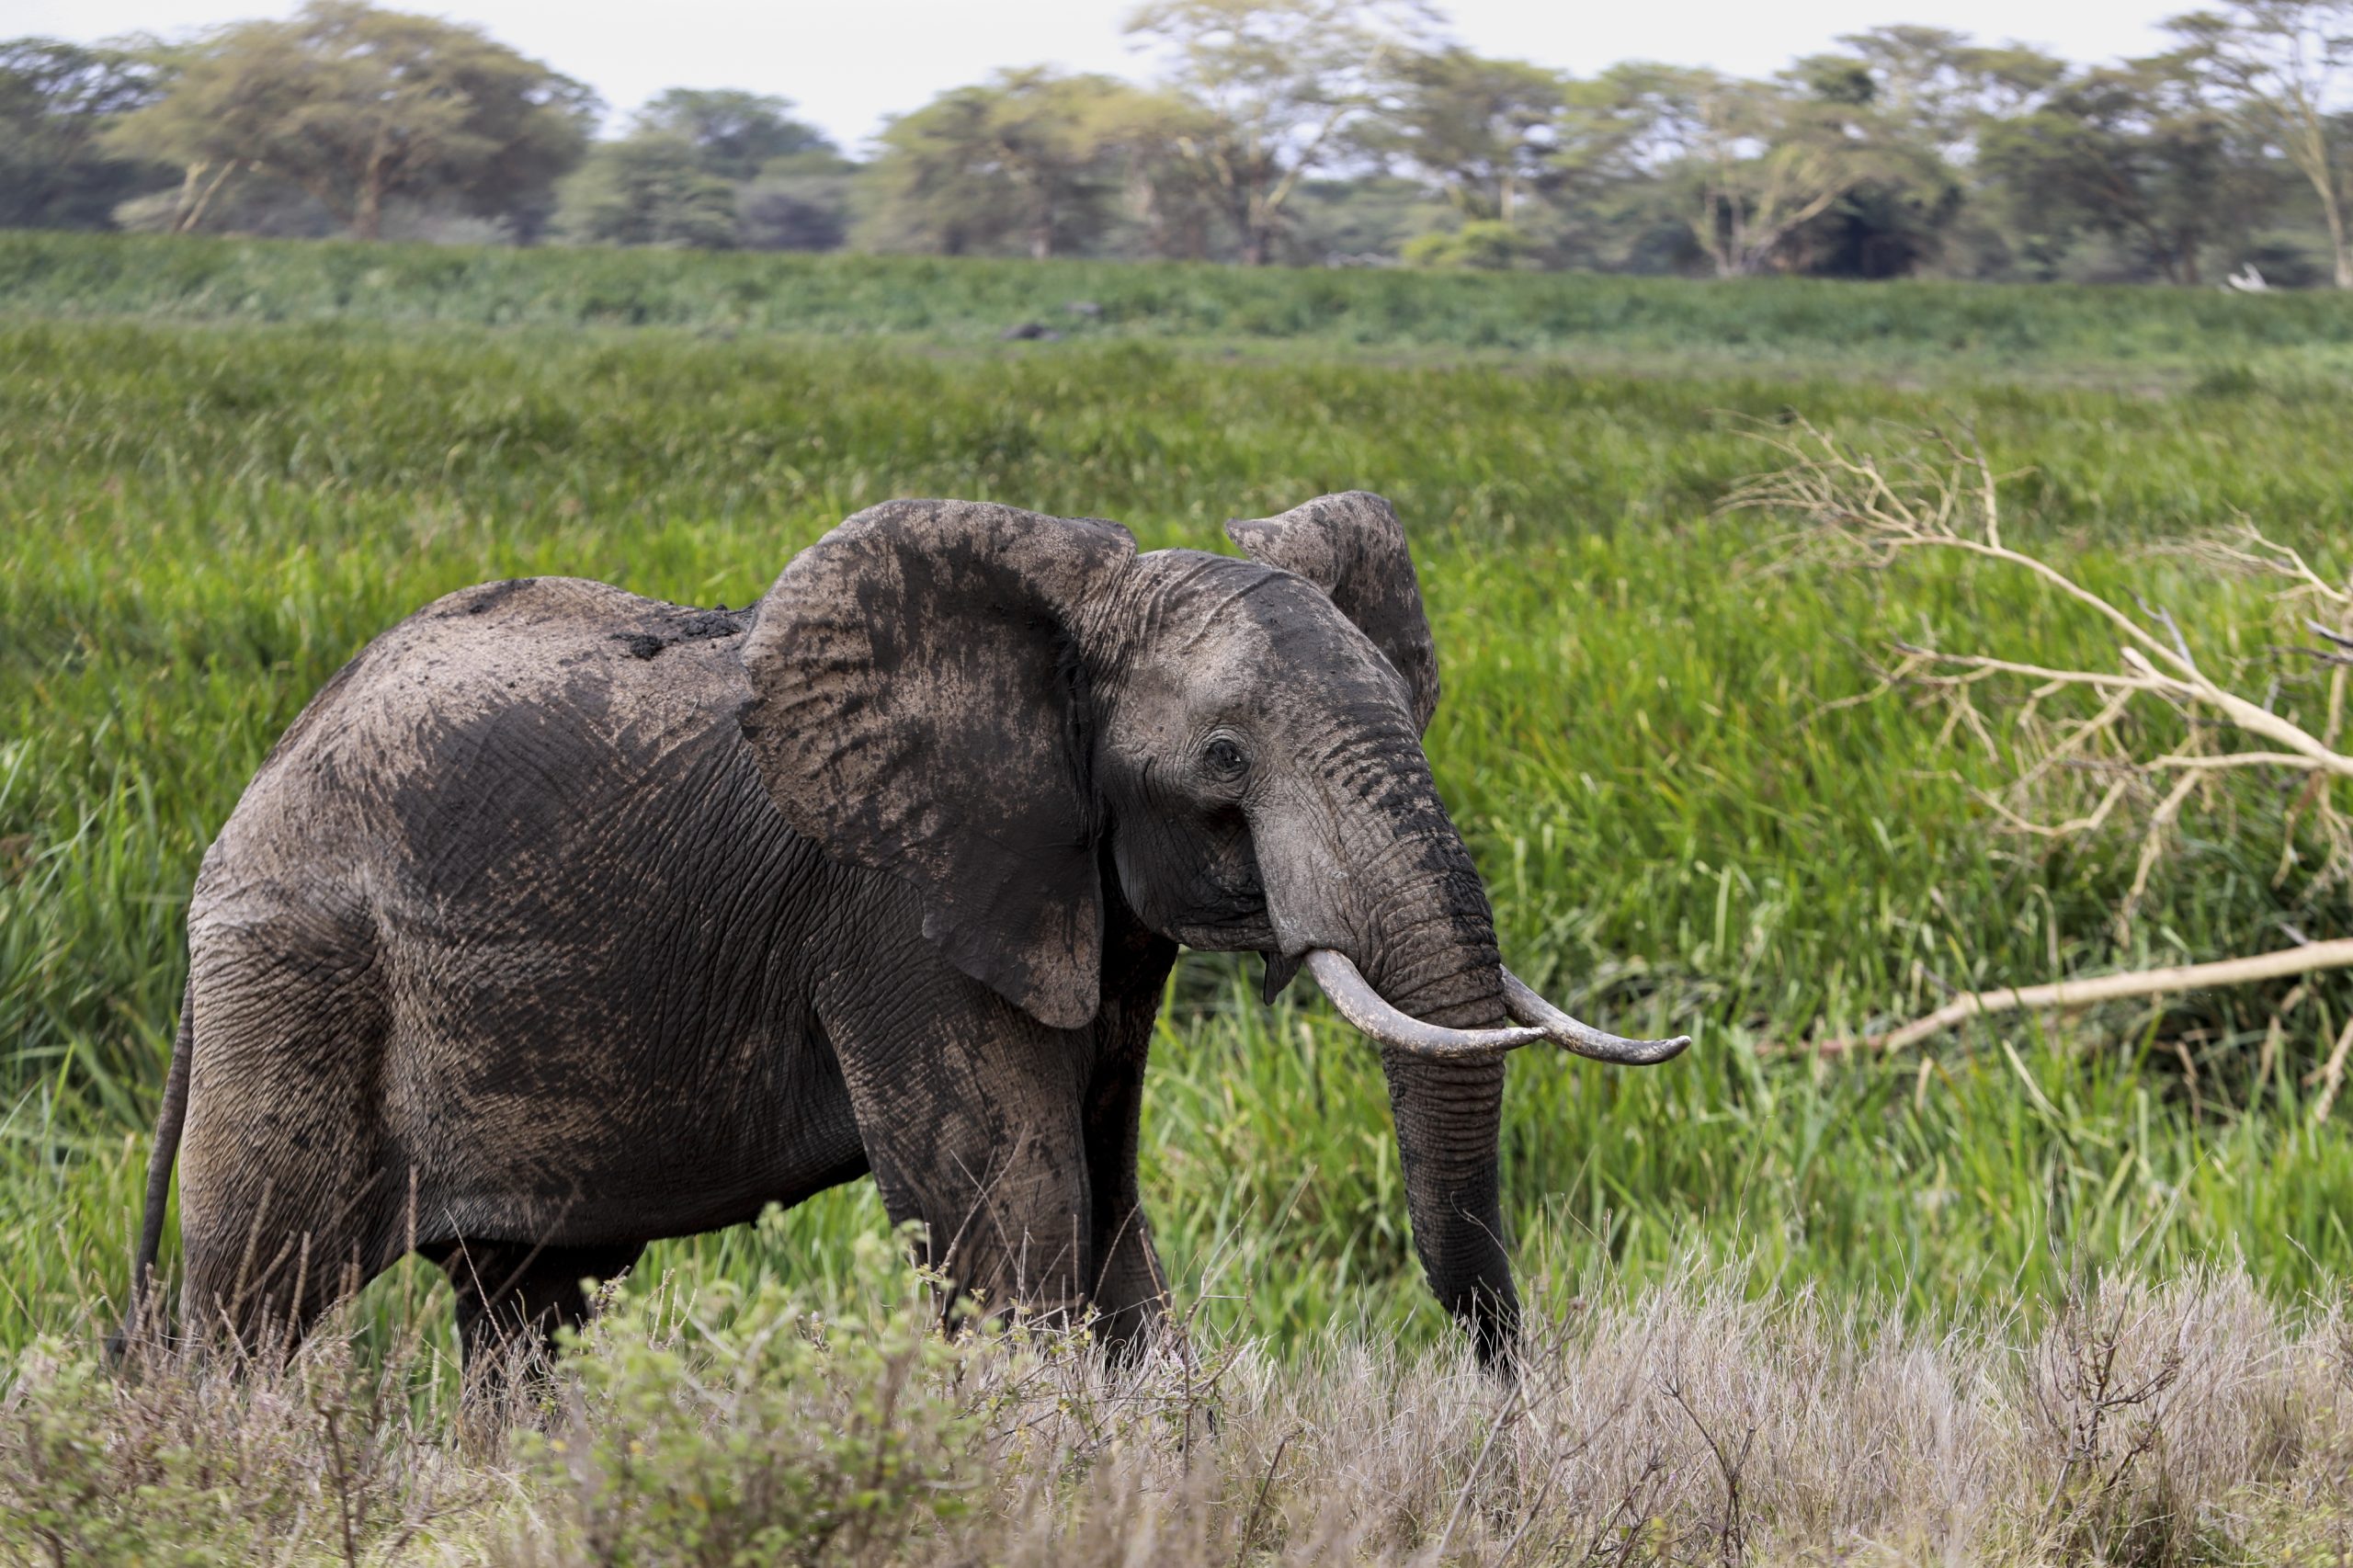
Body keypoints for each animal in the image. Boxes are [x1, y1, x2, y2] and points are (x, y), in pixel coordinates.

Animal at [119, 491, 1686, 1373]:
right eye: (1228, 762)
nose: (1503, 1387)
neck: (1053, 635)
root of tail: (260, 778)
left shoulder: (1077, 891)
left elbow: (1107, 1217)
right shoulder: (892, 910)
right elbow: (1014, 1219)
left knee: (525, 1309)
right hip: (298, 968)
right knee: (256, 1296)